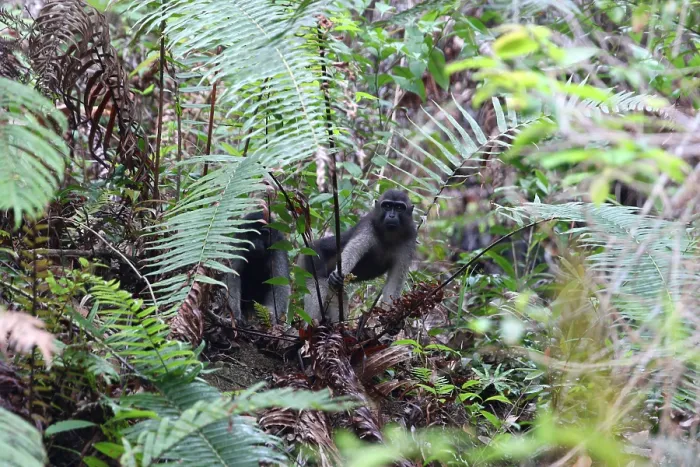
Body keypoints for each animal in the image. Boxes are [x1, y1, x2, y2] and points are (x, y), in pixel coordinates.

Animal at [299, 189, 417, 323]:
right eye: (387, 206)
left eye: (399, 208)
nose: (391, 216)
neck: (389, 235)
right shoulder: (368, 227)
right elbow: (352, 251)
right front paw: (337, 275)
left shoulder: (409, 239)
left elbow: (395, 282)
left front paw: (390, 320)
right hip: (310, 258)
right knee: (319, 284)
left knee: (340, 297)